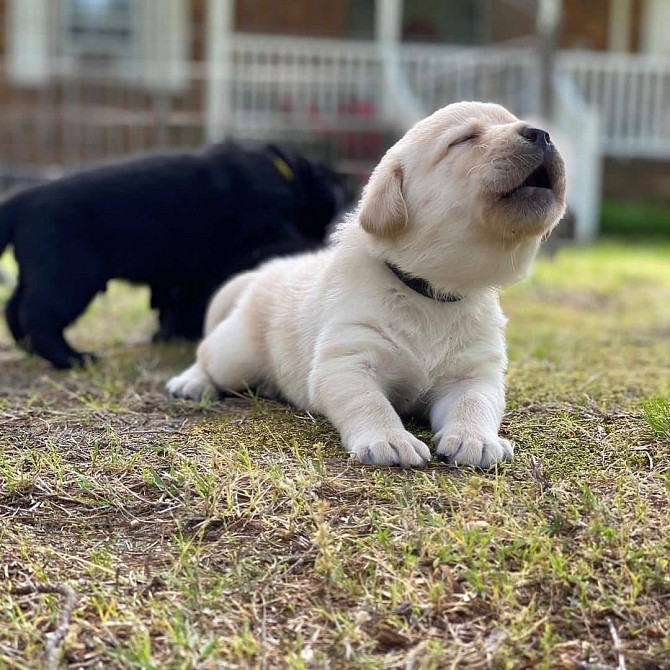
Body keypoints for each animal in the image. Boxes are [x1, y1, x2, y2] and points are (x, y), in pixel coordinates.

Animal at [1, 142, 352, 370]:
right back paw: (71, 359)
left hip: (43, 271)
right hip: (71, 275)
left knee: (15, 306)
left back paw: (28, 349)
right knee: (39, 313)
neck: (287, 175)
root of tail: (22, 200)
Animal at [168, 102, 568, 470]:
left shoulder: (475, 371)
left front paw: (477, 439)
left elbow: (477, 401)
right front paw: (390, 440)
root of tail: (265, 270)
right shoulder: (347, 361)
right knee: (208, 356)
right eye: (465, 139)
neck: (430, 292)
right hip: (238, 352)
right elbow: (370, 403)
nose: (543, 134)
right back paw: (190, 383)